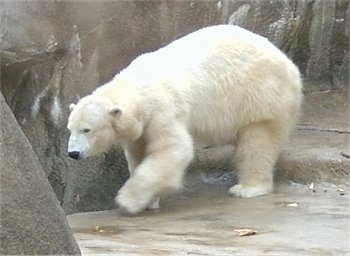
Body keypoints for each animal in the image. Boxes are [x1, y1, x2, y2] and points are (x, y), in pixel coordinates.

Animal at [67, 25, 302, 214]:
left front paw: (129, 200)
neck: (137, 86)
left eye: (87, 129)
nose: (73, 153)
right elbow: (138, 153)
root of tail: (290, 64)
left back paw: (247, 188)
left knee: (258, 142)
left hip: (260, 96)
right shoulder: (140, 127)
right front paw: (149, 200)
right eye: (70, 129)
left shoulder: (163, 110)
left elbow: (173, 148)